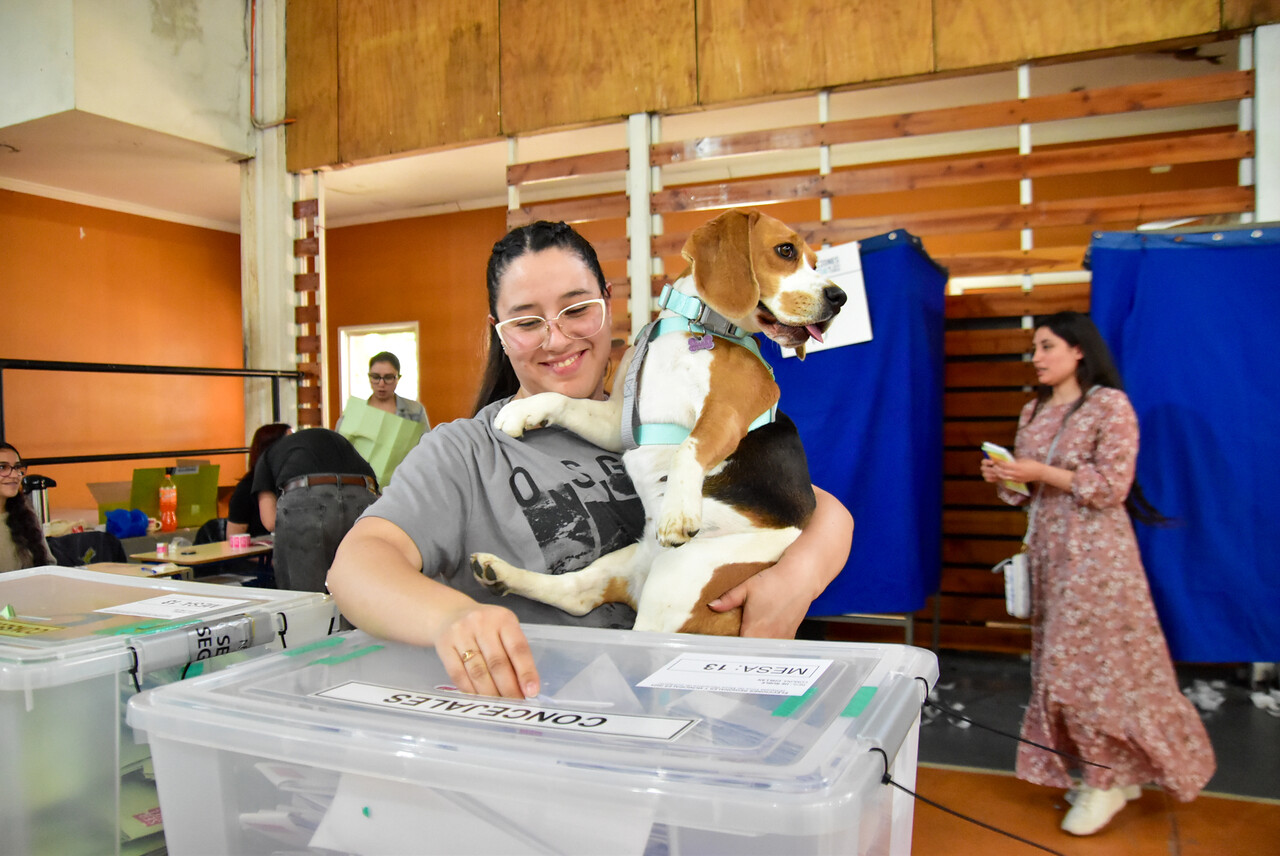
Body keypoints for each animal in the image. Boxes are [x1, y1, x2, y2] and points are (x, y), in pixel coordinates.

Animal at [465, 207, 844, 634]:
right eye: (786, 251)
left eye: (815, 262)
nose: (839, 298)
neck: (696, 326)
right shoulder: (620, 421)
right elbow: (564, 401)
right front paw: (523, 410)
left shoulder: (727, 411)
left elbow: (688, 447)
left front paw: (678, 511)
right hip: (624, 566)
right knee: (575, 594)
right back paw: (499, 573)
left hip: (678, 584)